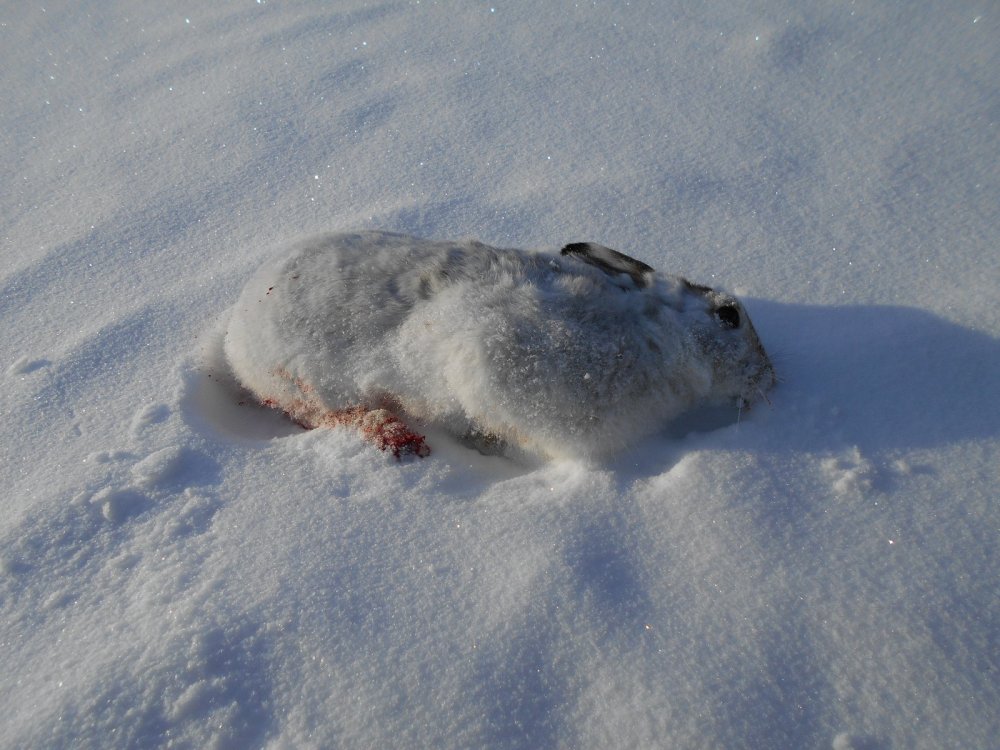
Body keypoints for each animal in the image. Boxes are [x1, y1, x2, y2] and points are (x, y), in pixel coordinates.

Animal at [223, 230, 775, 459]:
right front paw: (489, 446)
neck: (655, 337)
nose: (772, 381)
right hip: (303, 381)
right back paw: (397, 437)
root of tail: (235, 332)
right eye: (729, 316)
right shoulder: (491, 361)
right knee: (330, 414)